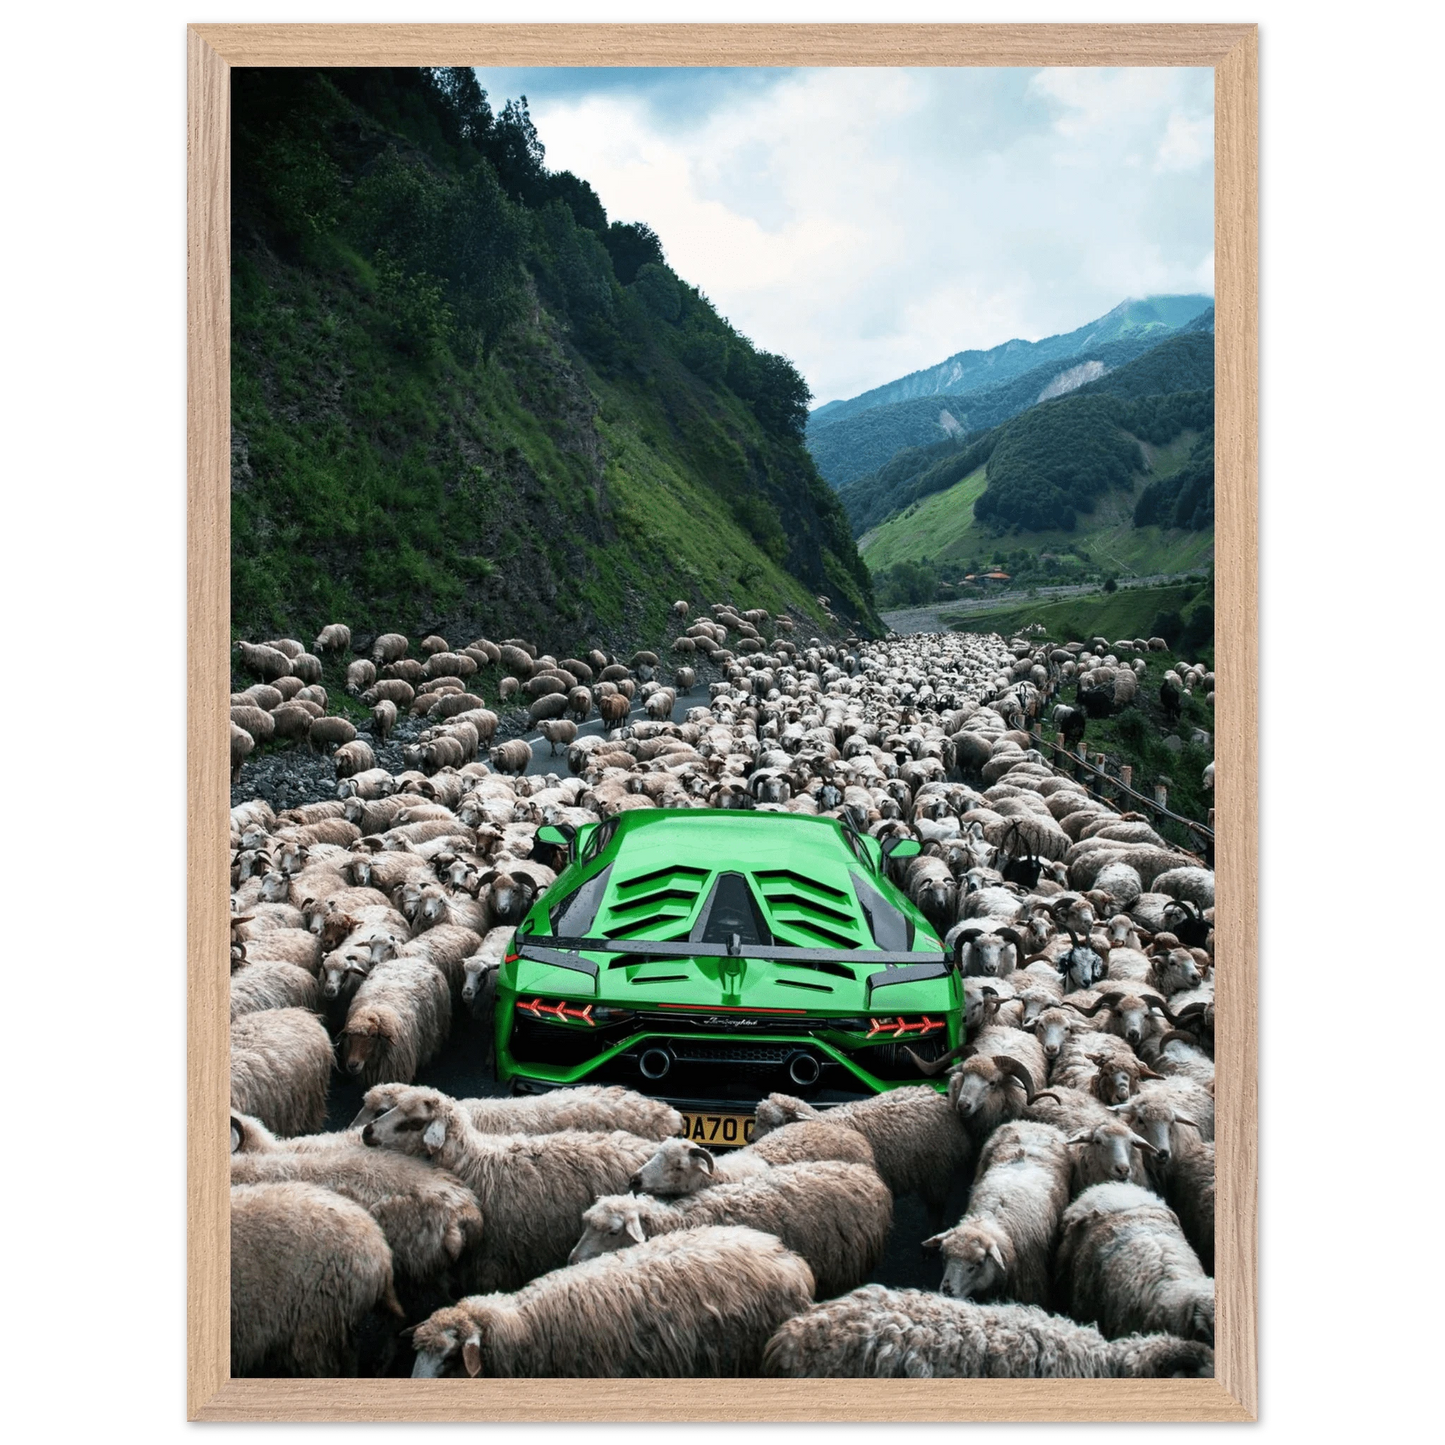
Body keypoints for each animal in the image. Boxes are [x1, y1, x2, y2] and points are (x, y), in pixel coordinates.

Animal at [752, 1088, 972, 1223]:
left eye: (774, 1122)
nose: (750, 1140)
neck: (823, 1121)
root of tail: (940, 1098)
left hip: (937, 1171)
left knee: (936, 1209)